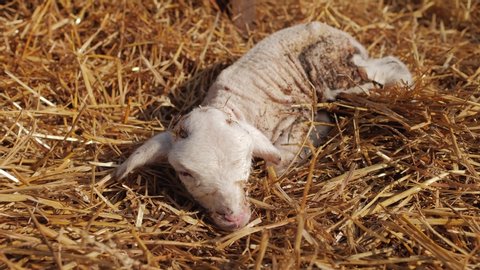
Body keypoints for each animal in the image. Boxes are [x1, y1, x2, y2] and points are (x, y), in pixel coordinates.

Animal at [113, 22, 412, 231]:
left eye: (244, 161)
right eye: (185, 173)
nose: (234, 219)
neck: (231, 105)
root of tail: (339, 32)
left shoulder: (294, 116)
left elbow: (277, 166)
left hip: (331, 67)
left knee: (386, 70)